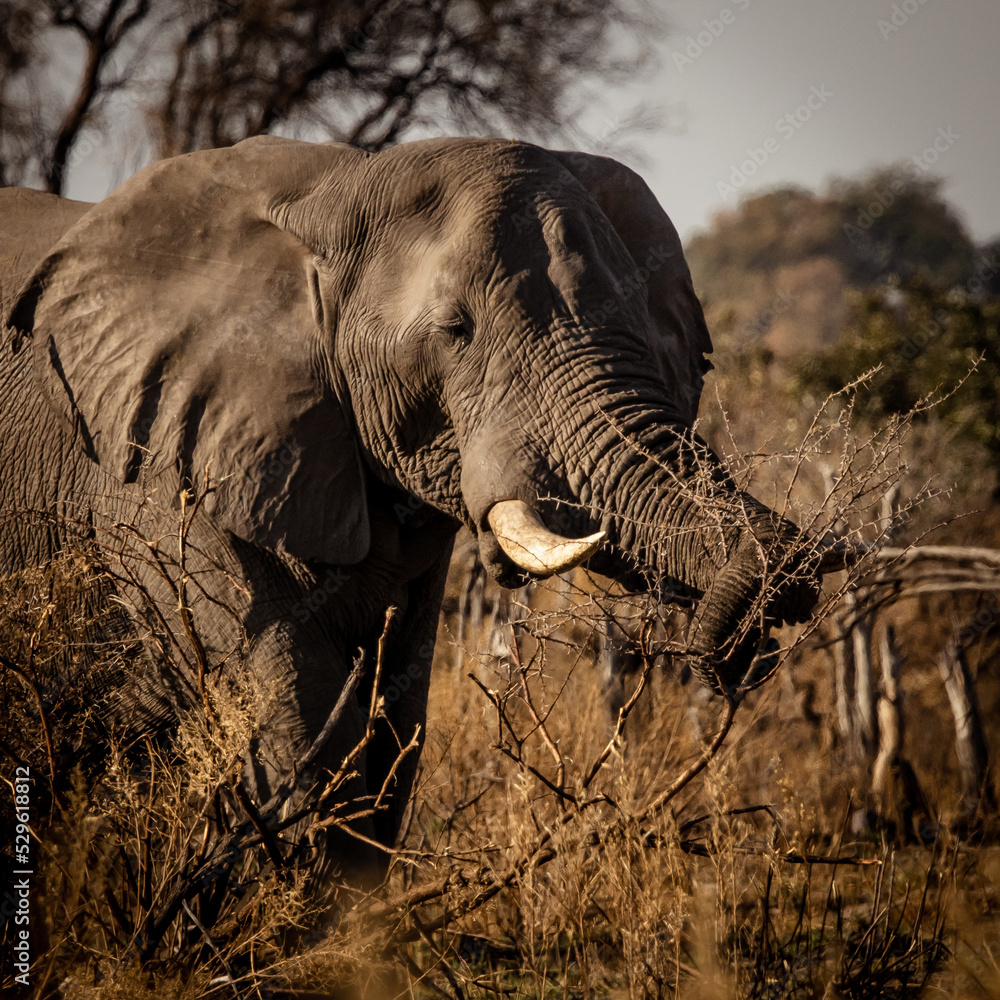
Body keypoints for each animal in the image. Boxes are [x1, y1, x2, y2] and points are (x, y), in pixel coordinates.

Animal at [0, 136, 822, 884]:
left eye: (648, 323)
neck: (333, 191)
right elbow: (296, 722)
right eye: (456, 331)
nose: (752, 644)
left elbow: (396, 725)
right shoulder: (158, 473)